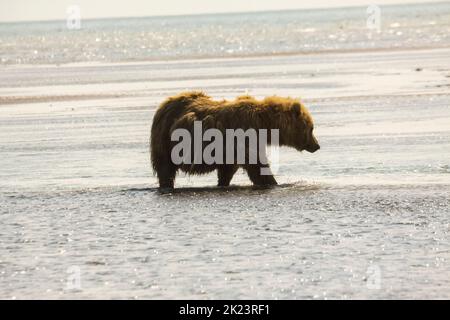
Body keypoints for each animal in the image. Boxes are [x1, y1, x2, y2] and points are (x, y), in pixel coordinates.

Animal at [149, 91, 318, 189]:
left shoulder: (231, 151)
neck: (265, 124)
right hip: (165, 140)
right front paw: (273, 182)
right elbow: (257, 166)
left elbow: (227, 170)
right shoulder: (246, 138)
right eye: (311, 128)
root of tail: (163, 105)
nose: (317, 145)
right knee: (165, 169)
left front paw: (222, 183)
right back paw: (166, 185)